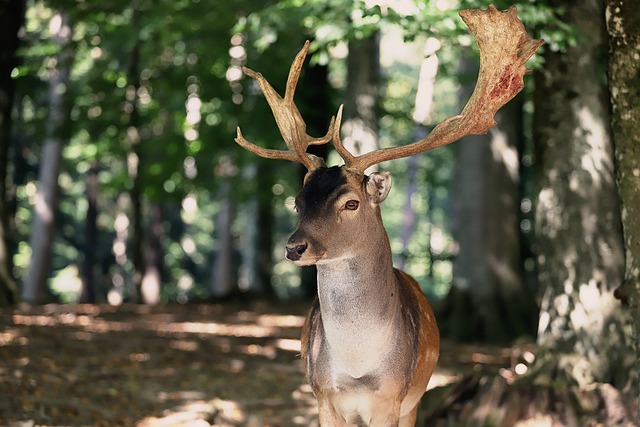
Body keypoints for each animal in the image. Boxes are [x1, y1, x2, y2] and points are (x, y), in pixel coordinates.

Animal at [235, 5, 540, 426]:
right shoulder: (322, 394)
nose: (294, 247)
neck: (357, 368)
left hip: (416, 398)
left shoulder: (392, 397)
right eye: (298, 201)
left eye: (351, 203)